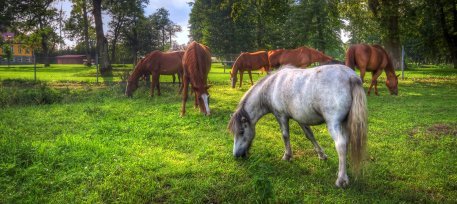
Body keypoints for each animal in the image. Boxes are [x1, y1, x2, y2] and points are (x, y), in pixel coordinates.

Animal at [227, 64, 366, 187]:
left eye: (241, 131)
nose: (236, 155)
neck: (271, 86)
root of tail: (351, 77)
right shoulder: (301, 119)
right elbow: (310, 135)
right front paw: (321, 155)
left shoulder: (281, 116)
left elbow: (285, 135)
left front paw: (287, 156)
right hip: (345, 123)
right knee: (346, 143)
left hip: (334, 124)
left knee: (341, 145)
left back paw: (341, 179)